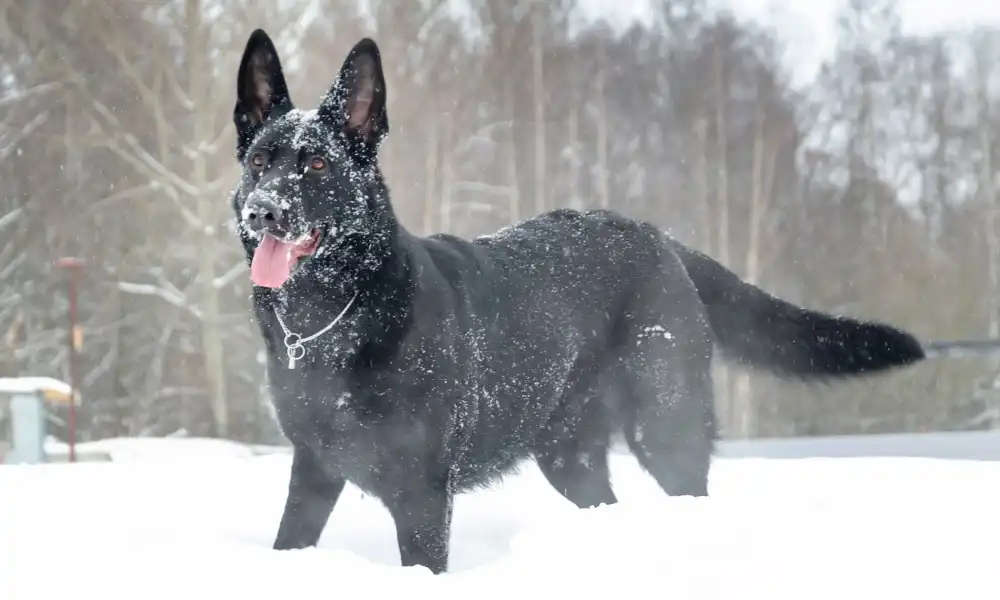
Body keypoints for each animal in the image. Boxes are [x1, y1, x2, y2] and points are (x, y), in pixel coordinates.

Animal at [229, 30, 920, 576]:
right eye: (260, 160)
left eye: (318, 165)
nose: (263, 211)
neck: (334, 316)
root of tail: (656, 237)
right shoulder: (313, 471)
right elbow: (288, 541)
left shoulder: (422, 493)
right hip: (570, 456)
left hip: (666, 427)